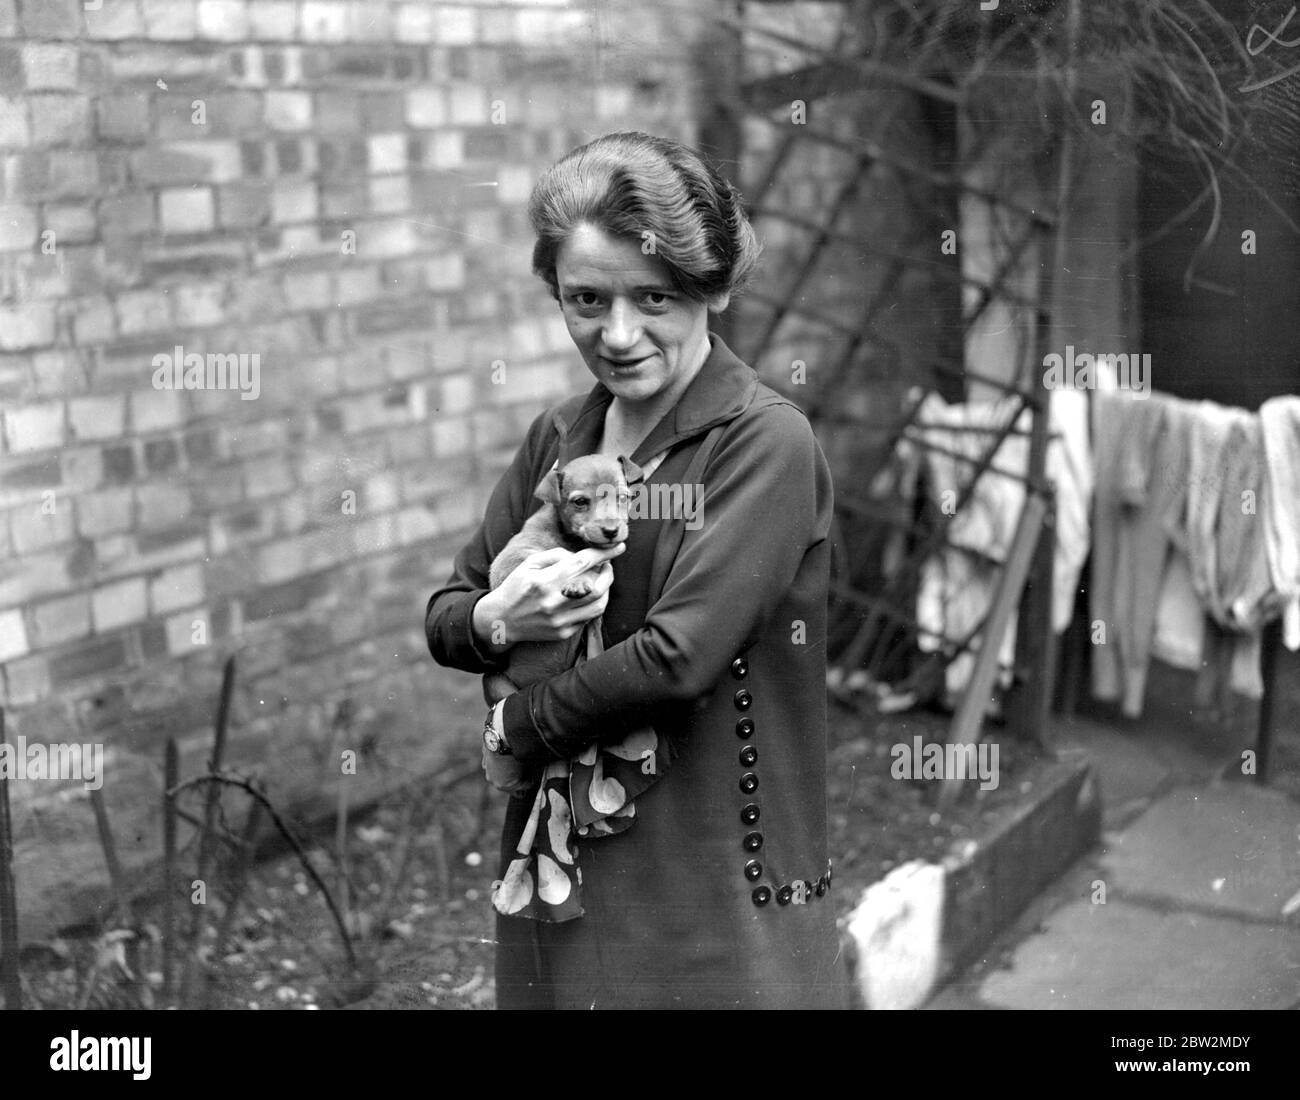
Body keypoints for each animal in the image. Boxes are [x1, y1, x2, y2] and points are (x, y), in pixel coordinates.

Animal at [483, 455, 634, 707]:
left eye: (623, 497)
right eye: (580, 501)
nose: (612, 530)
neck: (572, 541)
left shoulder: (593, 628)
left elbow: (595, 646)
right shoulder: (509, 562)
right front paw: (577, 580)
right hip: (496, 683)